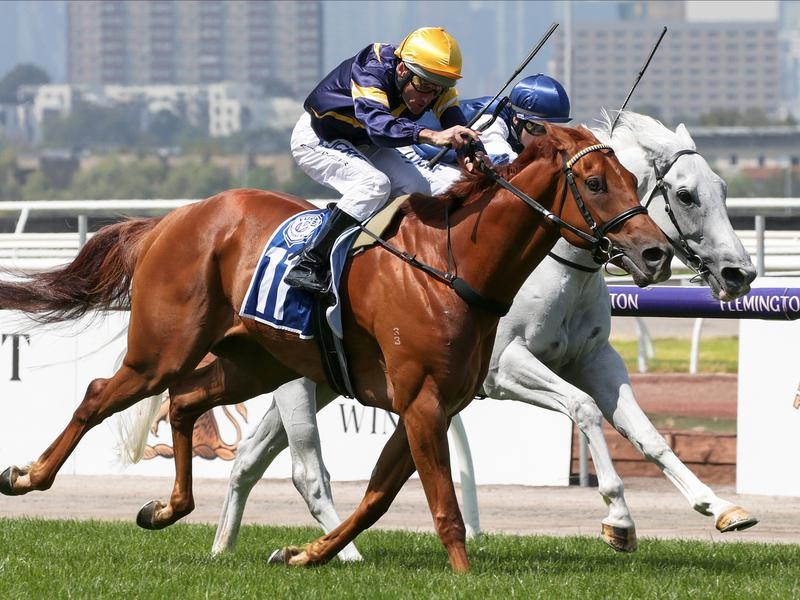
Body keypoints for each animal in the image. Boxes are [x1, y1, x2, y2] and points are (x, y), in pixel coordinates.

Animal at [0, 123, 672, 572]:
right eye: (594, 182)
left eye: (634, 181)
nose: (655, 253)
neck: (454, 264)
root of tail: (175, 218)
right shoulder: (423, 401)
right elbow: (441, 504)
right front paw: (463, 575)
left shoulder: (437, 403)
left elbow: (377, 496)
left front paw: (305, 553)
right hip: (162, 348)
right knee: (99, 394)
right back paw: (28, 475)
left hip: (253, 362)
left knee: (185, 402)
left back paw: (166, 509)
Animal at [205, 111, 756, 561]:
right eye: (685, 195)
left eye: (723, 188)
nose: (740, 274)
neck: (552, 263)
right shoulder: (504, 368)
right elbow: (583, 409)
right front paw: (618, 519)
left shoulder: (595, 358)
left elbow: (645, 433)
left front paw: (719, 505)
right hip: (298, 383)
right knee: (307, 471)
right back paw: (342, 554)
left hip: (320, 378)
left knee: (249, 458)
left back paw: (223, 548)